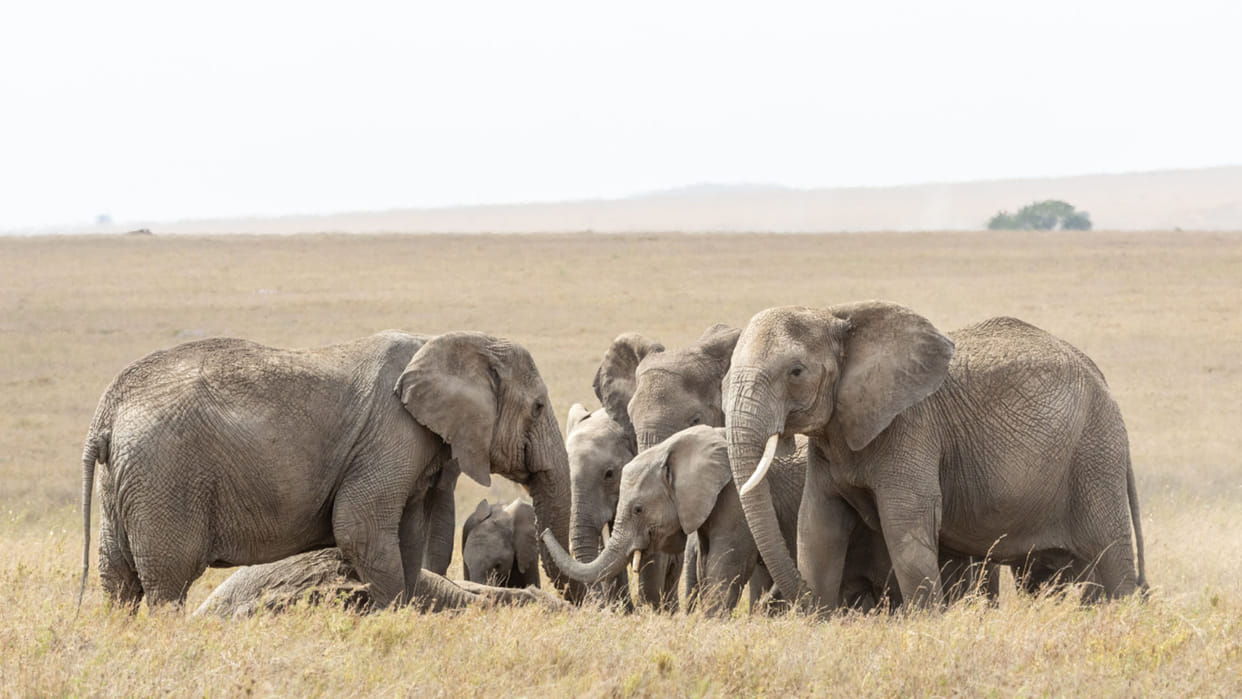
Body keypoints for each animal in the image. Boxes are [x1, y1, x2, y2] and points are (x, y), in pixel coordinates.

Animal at [79, 330, 583, 612]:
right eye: (539, 407)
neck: (449, 340)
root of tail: (108, 410)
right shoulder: (391, 436)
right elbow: (360, 529)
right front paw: (391, 620)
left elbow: (408, 538)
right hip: (165, 476)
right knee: (167, 581)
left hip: (125, 480)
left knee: (117, 578)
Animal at [725, 301, 1149, 610]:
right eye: (726, 377)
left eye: (796, 372)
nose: (796, 602)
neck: (834, 313)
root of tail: (1100, 377)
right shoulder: (831, 440)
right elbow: (817, 525)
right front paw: (819, 621)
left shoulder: (912, 427)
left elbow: (905, 523)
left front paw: (926, 623)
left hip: (1094, 453)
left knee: (1110, 557)